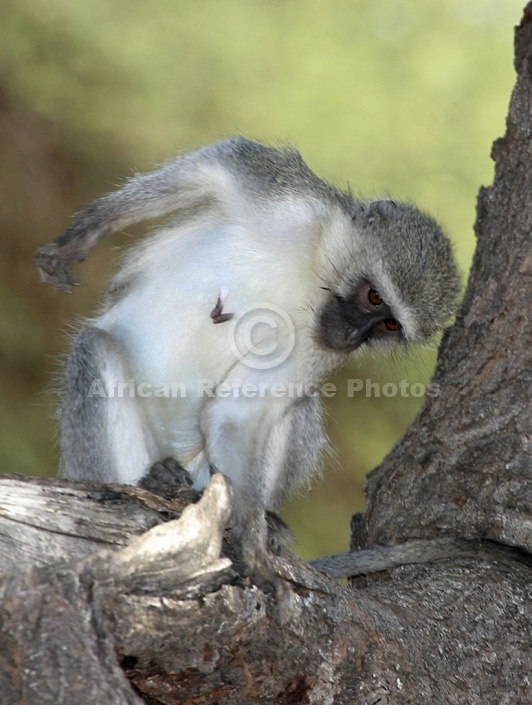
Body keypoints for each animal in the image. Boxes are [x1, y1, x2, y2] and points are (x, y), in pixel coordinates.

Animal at [37, 136, 466, 584]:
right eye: (374, 297)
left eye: (389, 326)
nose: (351, 337)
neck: (312, 277)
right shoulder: (291, 202)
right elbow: (213, 165)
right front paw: (84, 232)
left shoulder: (318, 344)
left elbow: (239, 415)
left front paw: (254, 546)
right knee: (93, 348)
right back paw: (144, 483)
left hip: (210, 477)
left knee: (296, 406)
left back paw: (258, 517)